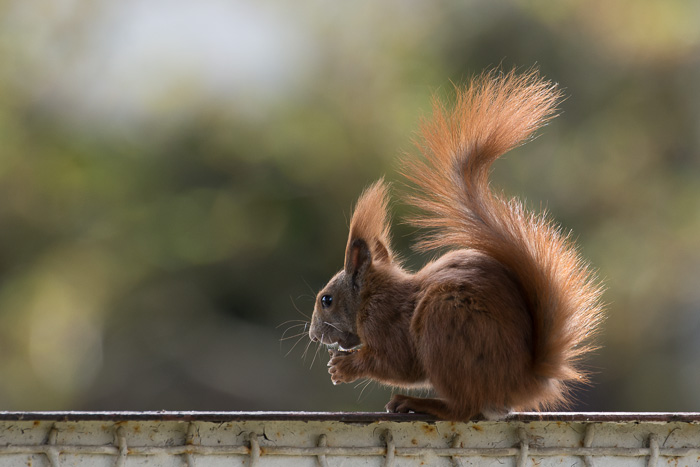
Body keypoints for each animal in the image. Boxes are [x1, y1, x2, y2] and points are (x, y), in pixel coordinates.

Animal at [308, 68, 604, 420]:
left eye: (326, 300)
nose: (313, 335)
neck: (372, 295)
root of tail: (521, 383)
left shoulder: (386, 323)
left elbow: (398, 363)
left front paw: (345, 367)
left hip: (445, 328)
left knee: (464, 408)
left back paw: (417, 402)